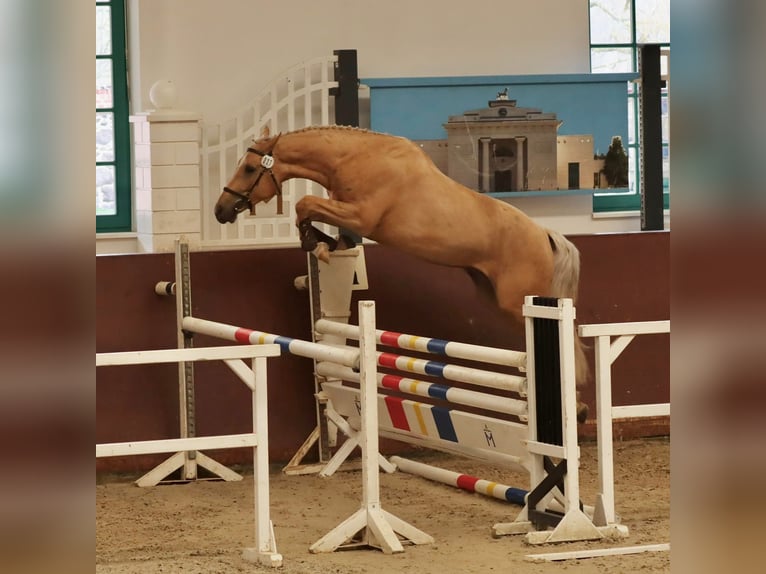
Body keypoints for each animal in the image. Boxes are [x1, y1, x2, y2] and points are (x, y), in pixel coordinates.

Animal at [214, 125, 590, 422]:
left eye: (249, 168)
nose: (221, 210)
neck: (354, 157)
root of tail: (544, 234)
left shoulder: (360, 216)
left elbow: (304, 205)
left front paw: (316, 243)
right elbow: (310, 215)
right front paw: (324, 244)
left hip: (519, 302)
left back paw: (576, 407)